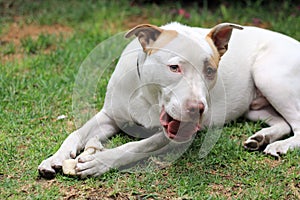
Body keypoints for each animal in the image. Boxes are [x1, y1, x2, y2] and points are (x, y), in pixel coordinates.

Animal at [38, 21, 300, 178]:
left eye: (210, 70)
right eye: (174, 67)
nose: (197, 109)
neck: (148, 97)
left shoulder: (177, 135)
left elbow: (136, 146)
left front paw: (99, 161)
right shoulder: (110, 116)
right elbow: (76, 133)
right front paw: (55, 158)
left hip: (269, 76)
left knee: (296, 125)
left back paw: (280, 145)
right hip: (256, 106)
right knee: (282, 122)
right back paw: (261, 138)